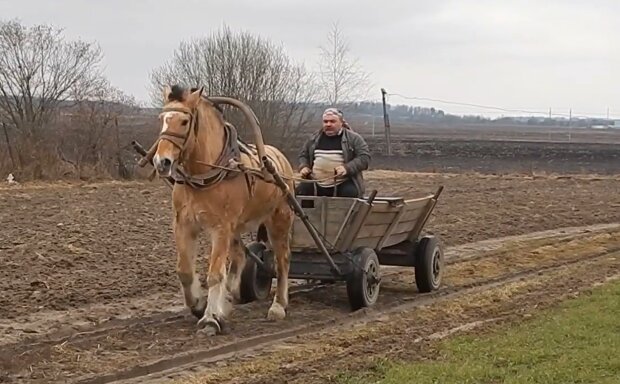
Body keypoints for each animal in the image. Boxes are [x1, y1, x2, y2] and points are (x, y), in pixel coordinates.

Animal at [151, 85, 294, 336]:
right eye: (162, 119)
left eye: (185, 121)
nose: (162, 162)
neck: (203, 176)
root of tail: (280, 159)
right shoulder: (183, 224)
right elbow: (184, 271)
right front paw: (200, 305)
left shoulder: (221, 227)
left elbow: (215, 274)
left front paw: (209, 319)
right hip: (237, 228)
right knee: (239, 256)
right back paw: (228, 301)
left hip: (279, 219)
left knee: (282, 260)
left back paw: (278, 306)